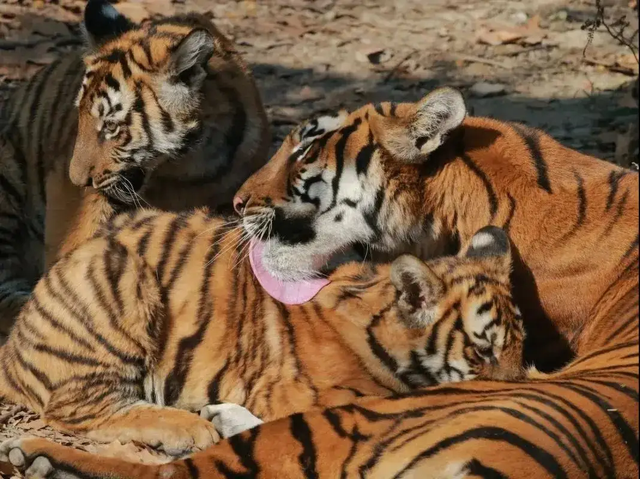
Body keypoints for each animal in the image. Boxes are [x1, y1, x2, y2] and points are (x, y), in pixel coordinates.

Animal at [0, 197, 524, 456]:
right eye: (481, 352)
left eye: (519, 348)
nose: (523, 391)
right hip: (117, 278)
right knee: (81, 409)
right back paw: (188, 430)